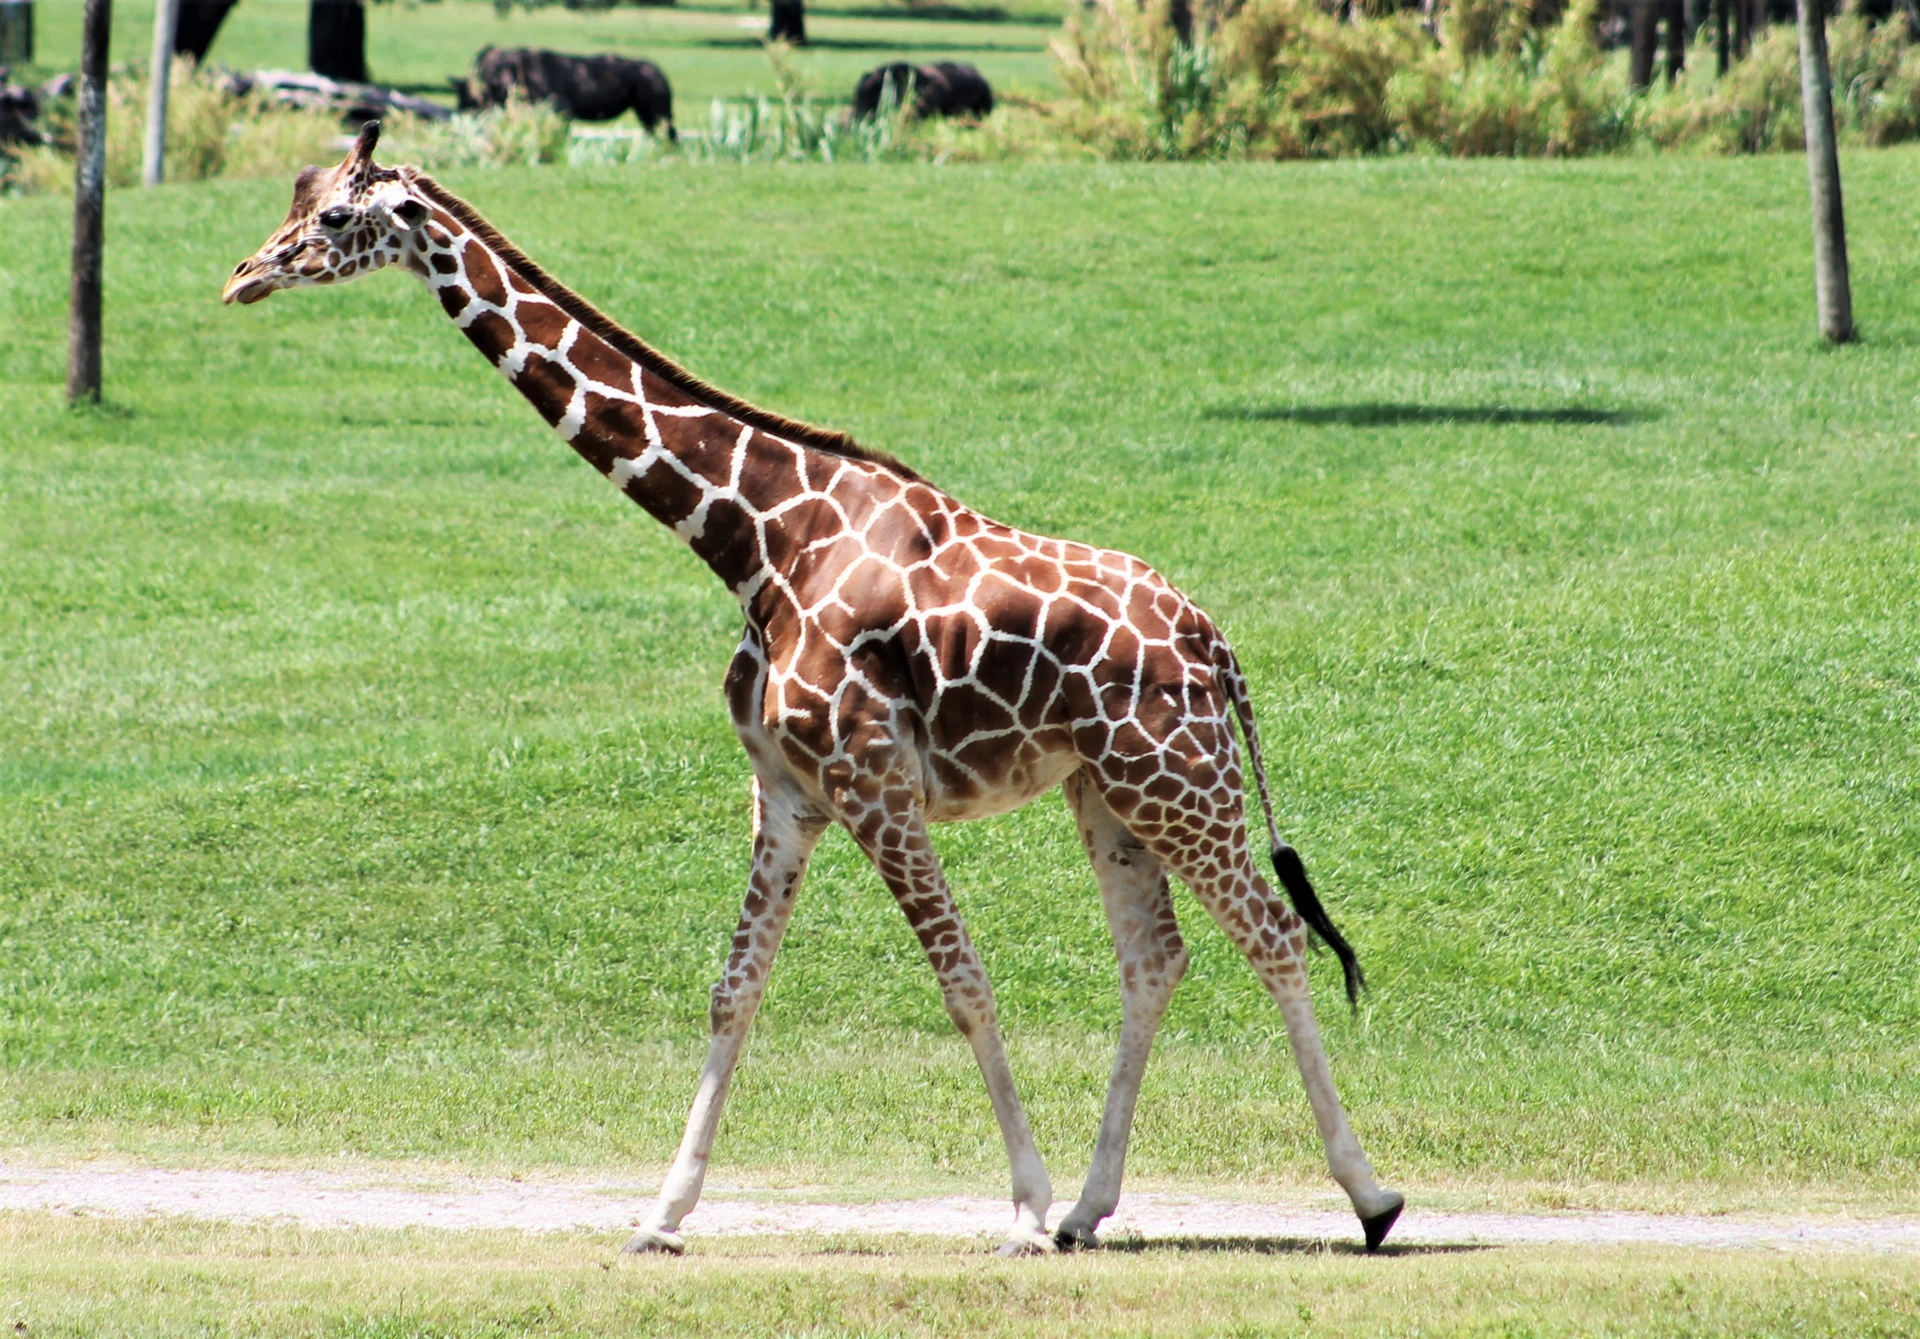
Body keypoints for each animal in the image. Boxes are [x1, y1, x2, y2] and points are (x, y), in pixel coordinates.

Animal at [223, 124, 1404, 1257]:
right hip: (1106, 791)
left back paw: (1370, 1197)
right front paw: (662, 1214)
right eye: (293, 198)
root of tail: (1213, 641)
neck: (758, 540)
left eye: (334, 216)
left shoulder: (874, 781)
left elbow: (963, 980)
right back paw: (1091, 1208)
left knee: (1274, 934)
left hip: (1177, 777)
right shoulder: (789, 792)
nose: (242, 276)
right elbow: (733, 990)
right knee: (1156, 960)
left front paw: (1020, 1210)